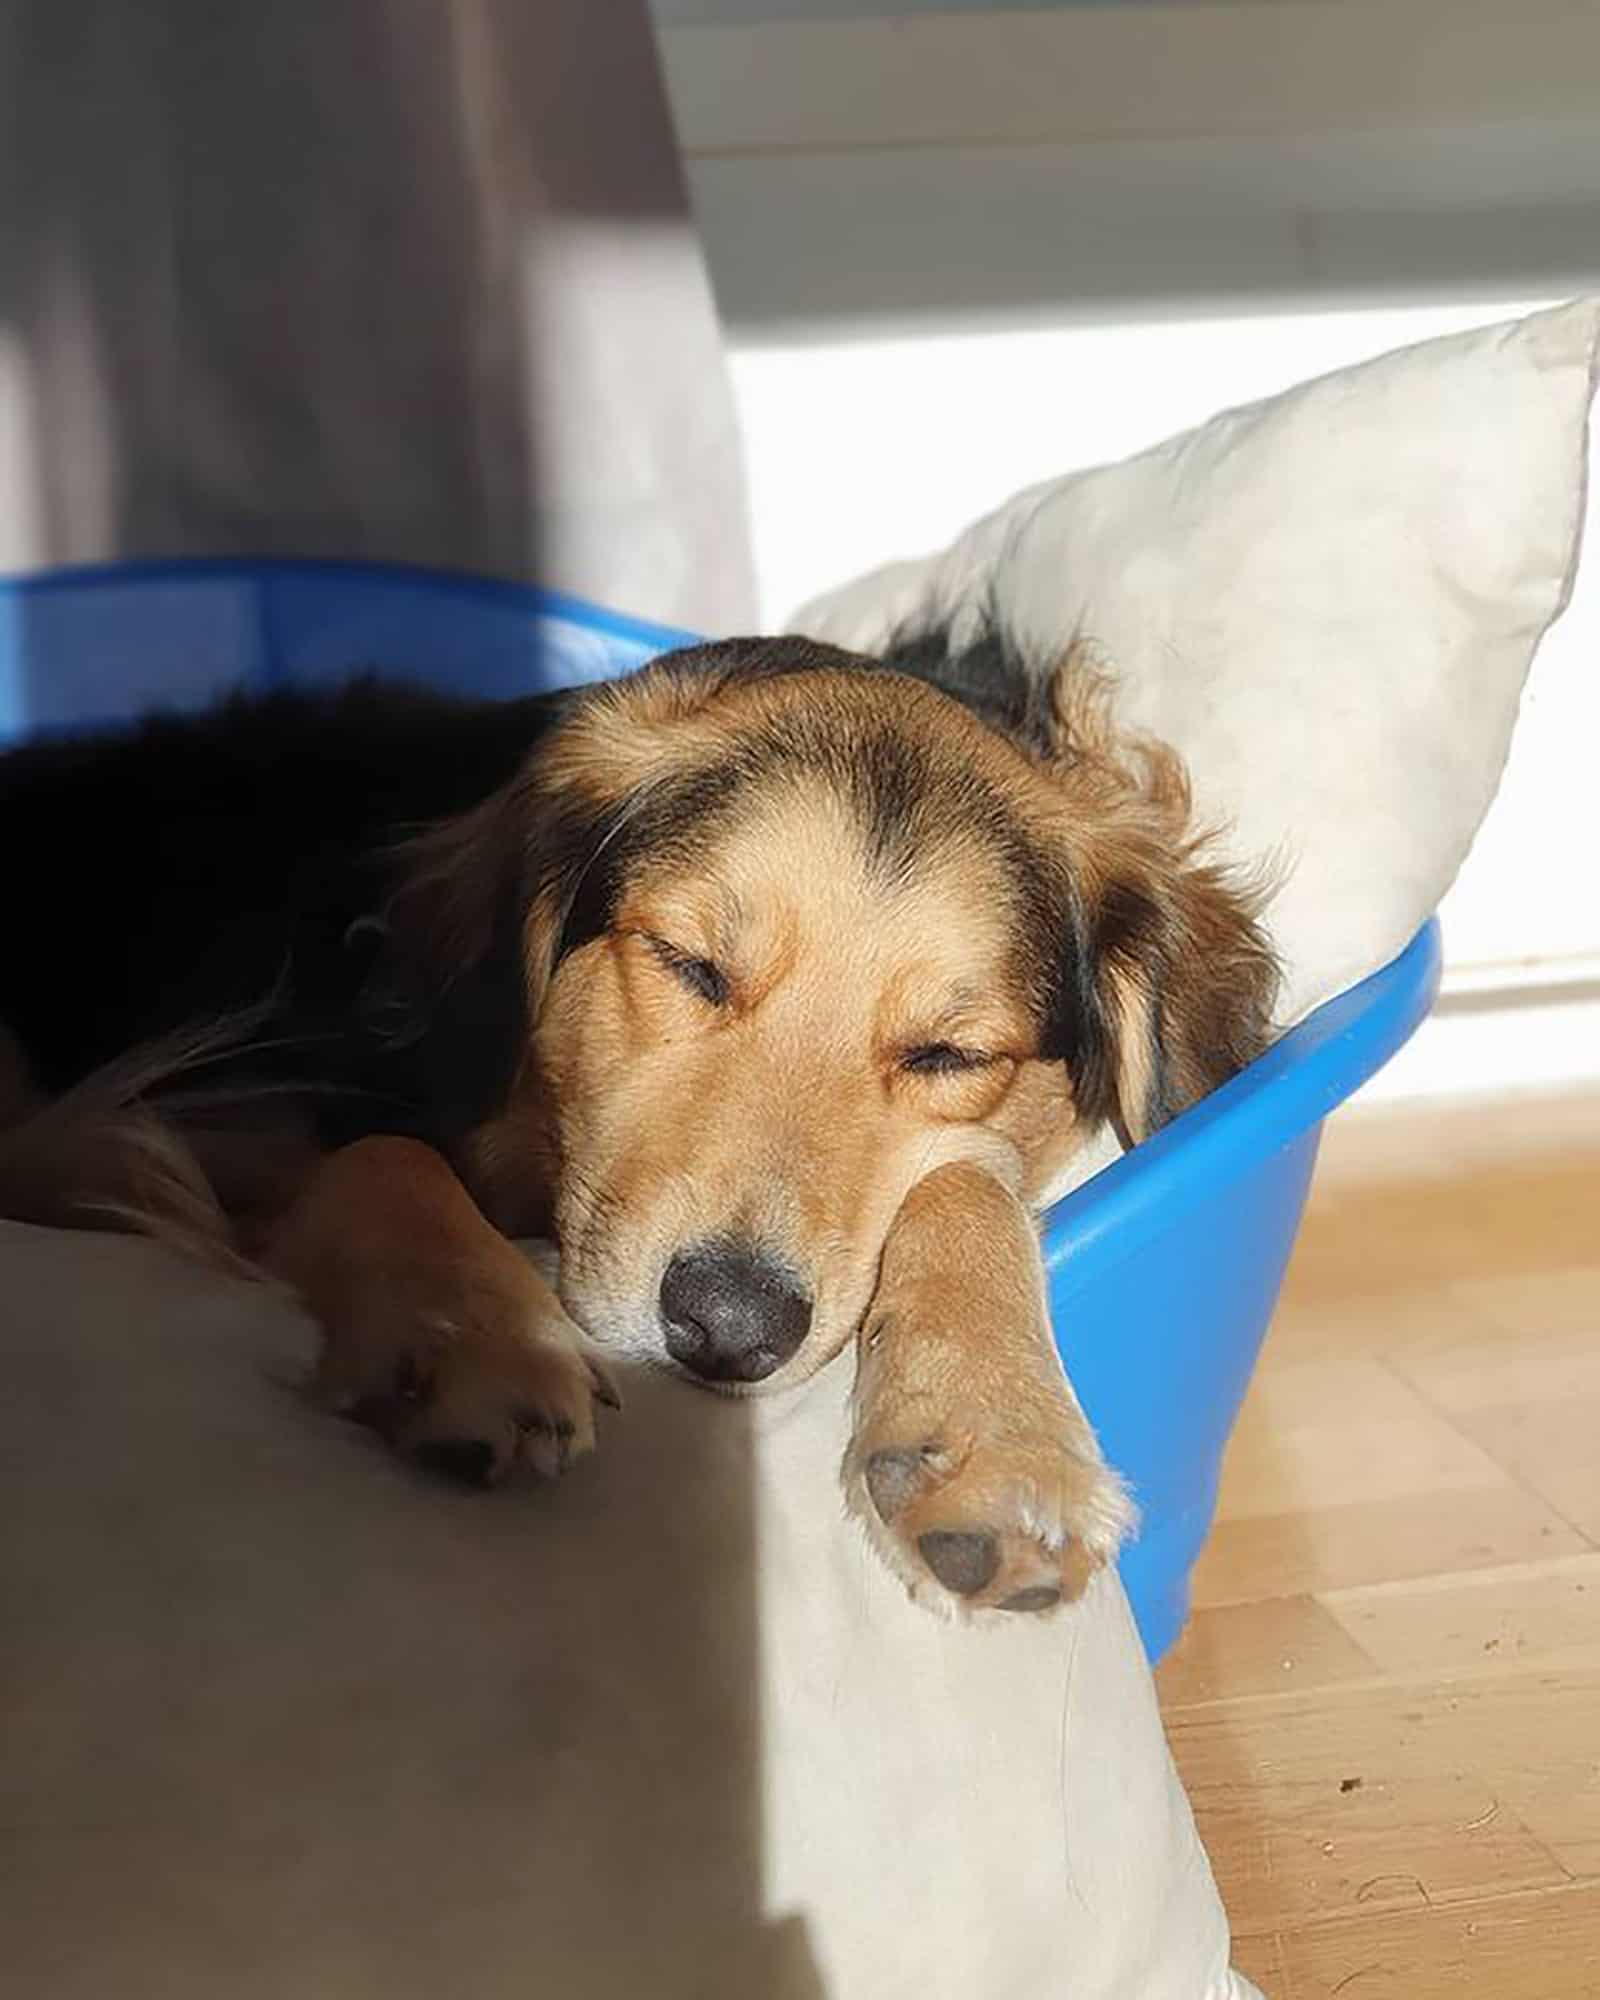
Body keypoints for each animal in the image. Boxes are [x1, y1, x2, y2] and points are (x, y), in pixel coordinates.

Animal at [0, 632, 1272, 1616]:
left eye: (947, 1054)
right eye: (685, 963)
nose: (726, 1327)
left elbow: (967, 1180)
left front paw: (998, 1432)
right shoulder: (191, 1106)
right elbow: (383, 1151)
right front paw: (466, 1324)